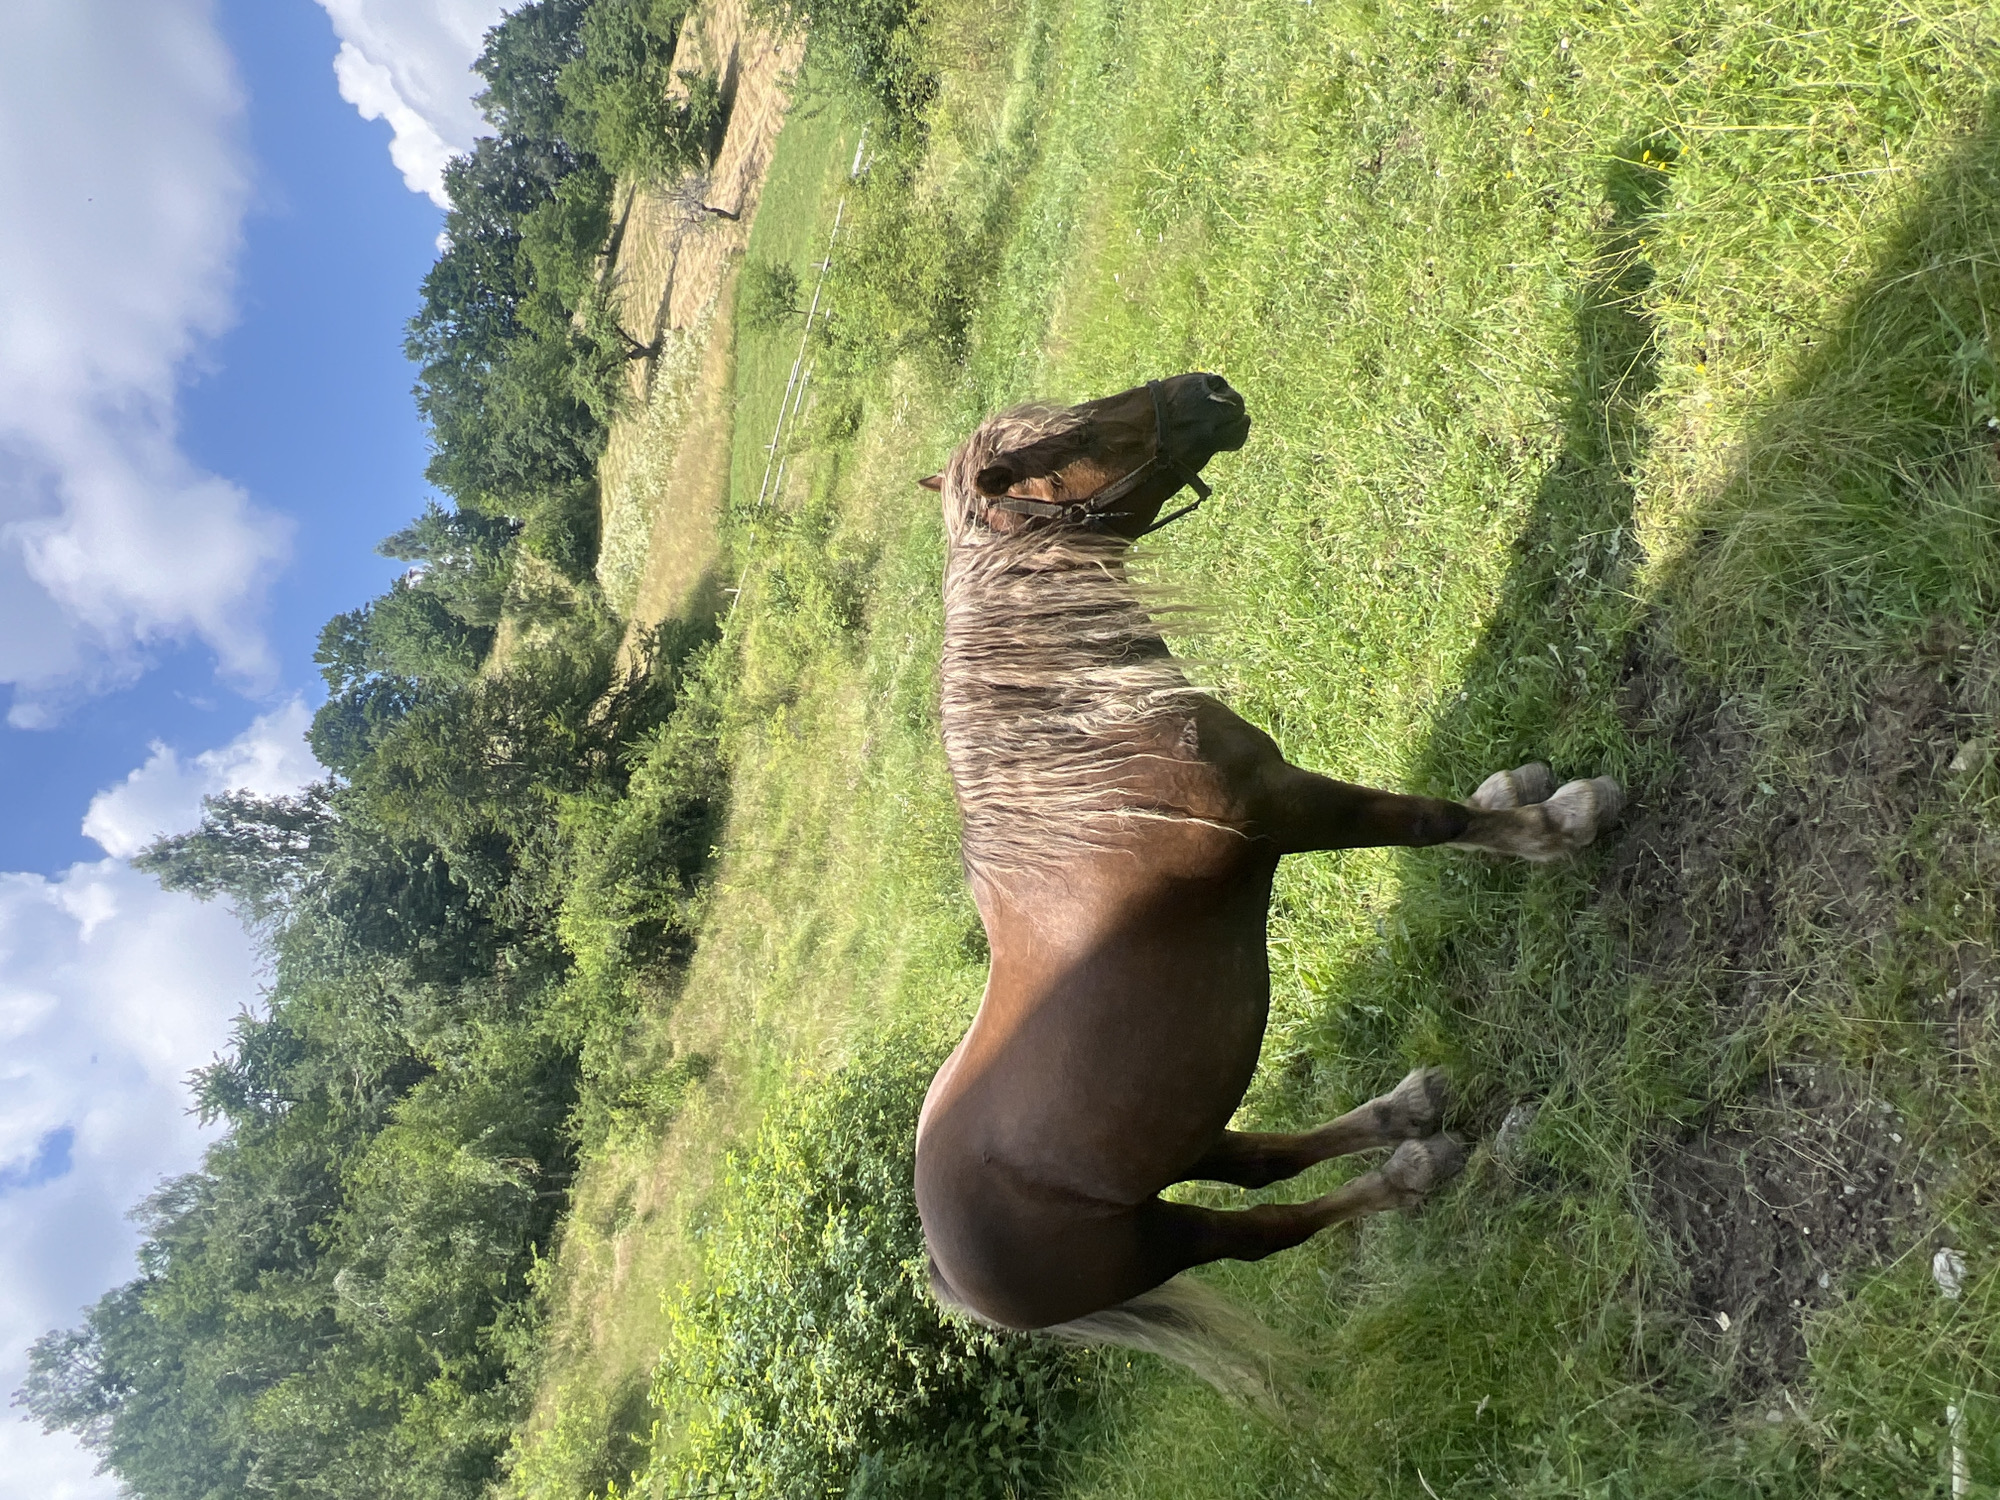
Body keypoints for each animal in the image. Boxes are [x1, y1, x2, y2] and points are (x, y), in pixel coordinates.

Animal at [911, 372, 1623, 1399]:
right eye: (1071, 440)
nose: (1209, 389)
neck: (1092, 753)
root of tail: (945, 1266)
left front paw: (1516, 797)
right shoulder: (1291, 811)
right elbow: (1427, 821)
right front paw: (1558, 826)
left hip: (1176, 1136)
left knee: (1256, 1160)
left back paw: (1405, 1112)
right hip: (1156, 1238)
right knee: (1261, 1227)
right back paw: (1414, 1171)